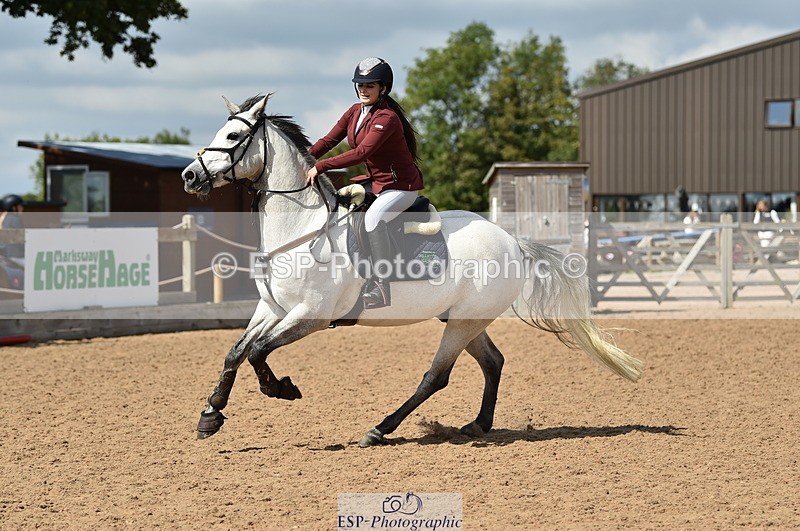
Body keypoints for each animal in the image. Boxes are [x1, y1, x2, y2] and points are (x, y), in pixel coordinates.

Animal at [180, 94, 643, 447]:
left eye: (233, 136)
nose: (189, 176)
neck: (301, 228)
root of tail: (512, 241)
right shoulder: (273, 309)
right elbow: (237, 351)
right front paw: (211, 415)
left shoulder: (310, 316)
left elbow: (259, 351)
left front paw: (281, 389)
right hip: (464, 319)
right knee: (492, 362)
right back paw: (477, 424)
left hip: (462, 323)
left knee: (435, 377)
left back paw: (380, 429)